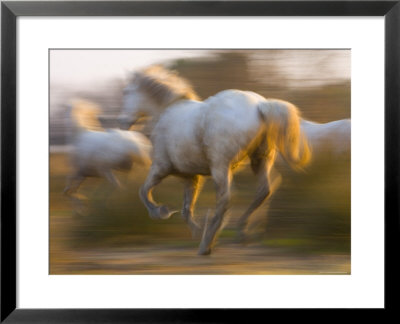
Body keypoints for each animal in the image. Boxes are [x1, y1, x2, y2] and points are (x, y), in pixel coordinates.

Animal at [117, 66, 310, 256]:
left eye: (126, 92)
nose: (122, 122)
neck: (165, 112)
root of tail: (260, 105)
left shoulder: (161, 168)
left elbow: (144, 192)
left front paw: (162, 212)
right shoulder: (191, 177)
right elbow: (186, 209)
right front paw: (196, 230)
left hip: (221, 167)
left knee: (225, 199)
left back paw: (207, 244)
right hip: (260, 160)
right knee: (264, 190)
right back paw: (243, 233)